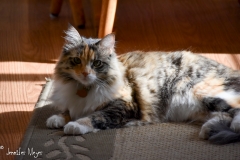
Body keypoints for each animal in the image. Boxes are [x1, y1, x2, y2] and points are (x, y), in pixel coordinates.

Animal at [46, 26, 240, 144]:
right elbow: (67, 111)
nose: (85, 74)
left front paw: (75, 125)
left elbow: (96, 116)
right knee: (223, 115)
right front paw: (57, 119)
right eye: (77, 61)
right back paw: (207, 131)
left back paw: (227, 128)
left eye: (97, 64)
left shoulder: (124, 105)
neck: (85, 89)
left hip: (201, 91)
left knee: (234, 111)